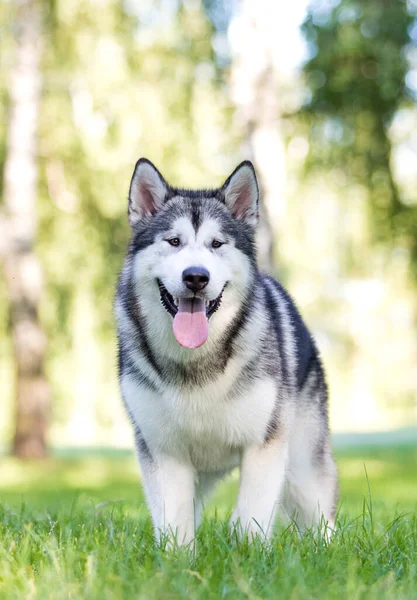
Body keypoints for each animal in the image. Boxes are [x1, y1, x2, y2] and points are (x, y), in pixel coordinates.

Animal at [114, 159, 338, 544]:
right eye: (174, 241)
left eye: (216, 243)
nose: (195, 277)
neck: (196, 363)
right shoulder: (164, 452)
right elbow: (174, 524)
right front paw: (177, 557)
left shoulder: (264, 446)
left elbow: (250, 517)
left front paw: (248, 553)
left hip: (302, 468)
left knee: (319, 518)